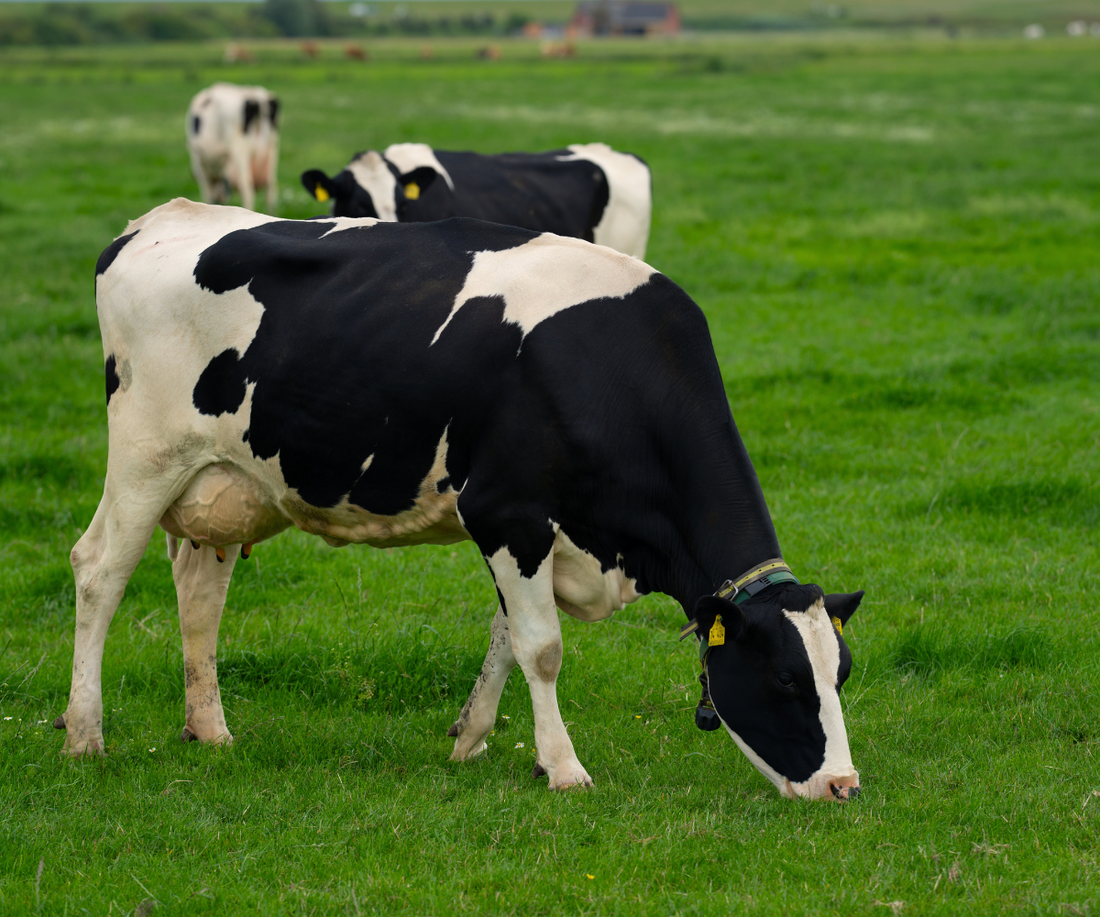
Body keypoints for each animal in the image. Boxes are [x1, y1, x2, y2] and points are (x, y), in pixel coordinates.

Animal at [57, 199, 864, 800]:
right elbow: (542, 646)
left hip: (224, 482)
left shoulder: (537, 529)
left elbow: (506, 635)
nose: (844, 785)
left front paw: (473, 738)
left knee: (200, 593)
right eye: (785, 678)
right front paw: (564, 768)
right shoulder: (507, 512)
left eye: (842, 673)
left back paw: (210, 729)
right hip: (147, 457)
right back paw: (85, 733)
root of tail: (160, 218)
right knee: (100, 570)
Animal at [186, 83, 280, 212]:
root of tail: (255, 97)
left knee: (246, 188)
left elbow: (208, 197)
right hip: (271, 151)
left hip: (239, 151)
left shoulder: (201, 171)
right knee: (270, 188)